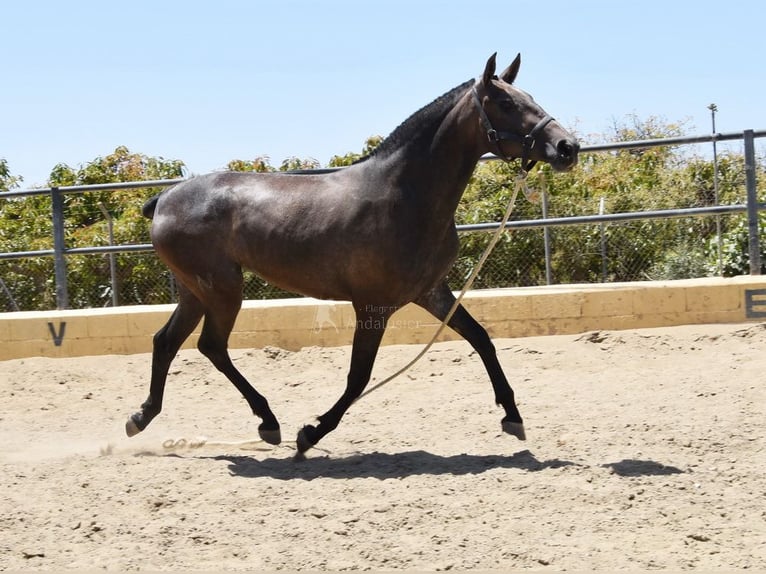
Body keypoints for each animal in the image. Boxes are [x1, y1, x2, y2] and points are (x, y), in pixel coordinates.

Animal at [127, 53, 584, 454]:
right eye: (506, 103)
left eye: (530, 96)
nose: (567, 147)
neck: (404, 195)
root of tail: (164, 200)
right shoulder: (372, 306)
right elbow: (358, 377)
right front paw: (310, 434)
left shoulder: (432, 292)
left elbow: (482, 339)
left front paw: (513, 417)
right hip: (222, 290)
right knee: (212, 346)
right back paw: (268, 423)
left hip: (196, 291)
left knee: (167, 341)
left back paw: (142, 418)